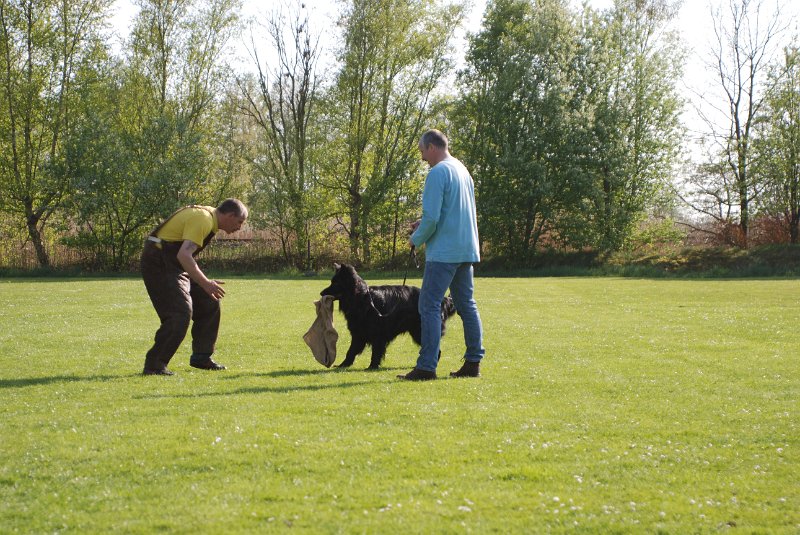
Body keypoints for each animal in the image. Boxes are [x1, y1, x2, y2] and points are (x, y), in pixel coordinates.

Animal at [320, 262, 456, 368]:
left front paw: (372, 366)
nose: (321, 293)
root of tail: (443, 300)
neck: (362, 298)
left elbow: (375, 351)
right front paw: (344, 364)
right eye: (331, 282)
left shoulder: (377, 333)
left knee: (436, 350)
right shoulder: (358, 333)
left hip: (420, 331)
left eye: (336, 283)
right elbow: (351, 350)